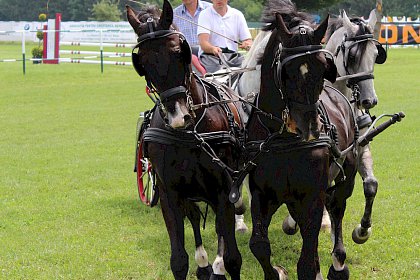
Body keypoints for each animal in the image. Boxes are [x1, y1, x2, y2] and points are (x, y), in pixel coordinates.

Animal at [127, 1, 246, 278]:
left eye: (177, 52)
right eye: (142, 61)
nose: (177, 115)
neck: (191, 133)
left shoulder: (224, 191)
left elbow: (233, 256)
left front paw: (221, 263)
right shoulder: (170, 195)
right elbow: (178, 260)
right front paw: (199, 263)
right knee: (193, 217)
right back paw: (203, 263)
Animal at [244, 1, 356, 278]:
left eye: (323, 66)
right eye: (287, 70)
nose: (311, 128)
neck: (283, 139)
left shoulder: (312, 196)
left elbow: (306, 259)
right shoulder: (262, 194)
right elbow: (259, 245)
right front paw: (276, 272)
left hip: (346, 175)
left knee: (337, 210)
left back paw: (339, 262)